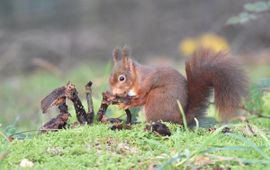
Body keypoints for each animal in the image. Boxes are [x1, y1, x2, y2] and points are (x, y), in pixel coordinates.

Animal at [108, 45, 248, 124]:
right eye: (109, 77)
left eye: (122, 78)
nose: (113, 92)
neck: (137, 77)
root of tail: (180, 119)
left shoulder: (146, 84)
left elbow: (140, 99)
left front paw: (124, 104)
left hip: (156, 99)